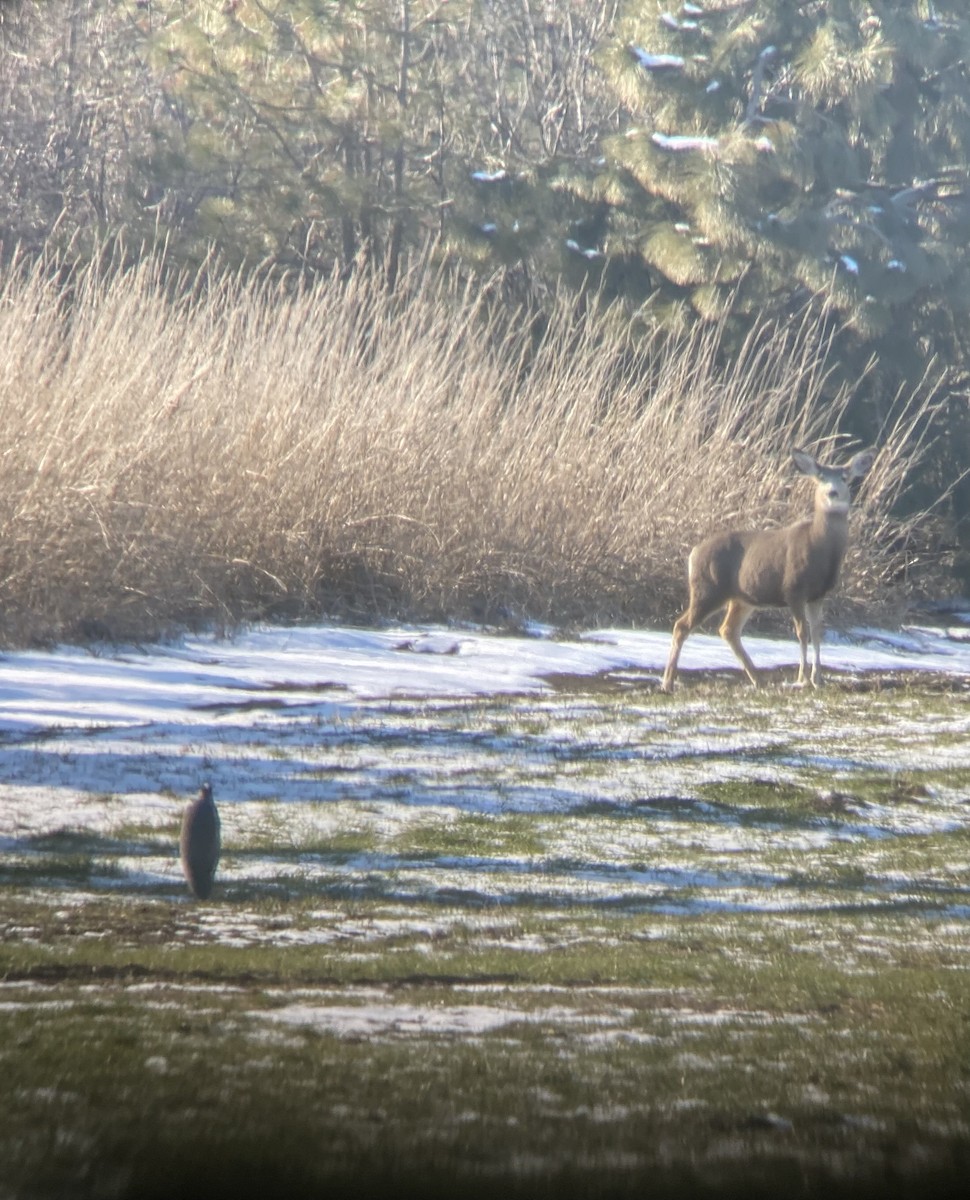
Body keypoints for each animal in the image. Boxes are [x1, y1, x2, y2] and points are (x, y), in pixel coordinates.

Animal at [657, 448, 878, 696]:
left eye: (845, 477)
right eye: (820, 476)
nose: (832, 492)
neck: (821, 549)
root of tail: (693, 553)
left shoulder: (818, 594)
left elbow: (817, 633)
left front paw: (818, 679)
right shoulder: (794, 589)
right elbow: (802, 632)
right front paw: (802, 679)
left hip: (742, 598)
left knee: (728, 630)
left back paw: (759, 680)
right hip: (708, 589)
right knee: (682, 625)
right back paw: (667, 683)